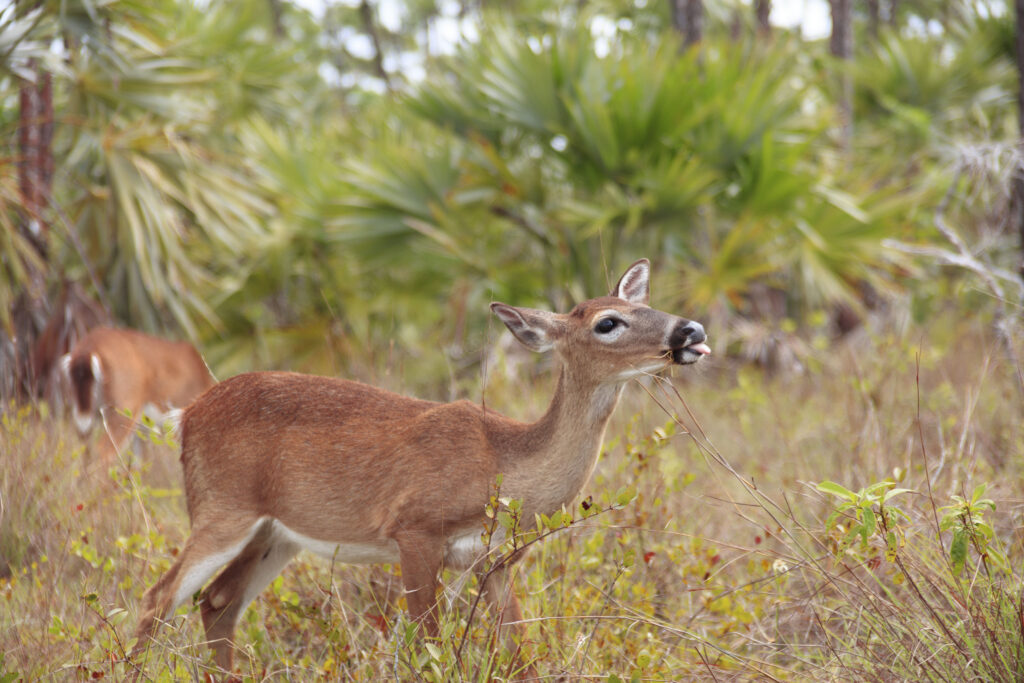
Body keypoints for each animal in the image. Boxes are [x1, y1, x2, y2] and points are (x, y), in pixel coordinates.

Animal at [60, 326, 216, 461]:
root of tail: (87, 350)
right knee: (102, 452)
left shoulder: (143, 431)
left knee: (84, 451)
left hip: (83, 412)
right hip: (124, 408)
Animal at [130, 259, 710, 674]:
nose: (692, 330)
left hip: (277, 533)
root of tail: (186, 415)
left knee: (217, 602)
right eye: (607, 322)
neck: (506, 464)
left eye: (649, 304)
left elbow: (520, 657)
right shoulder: (414, 529)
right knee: (158, 598)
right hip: (221, 507)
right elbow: (427, 649)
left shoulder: (496, 562)